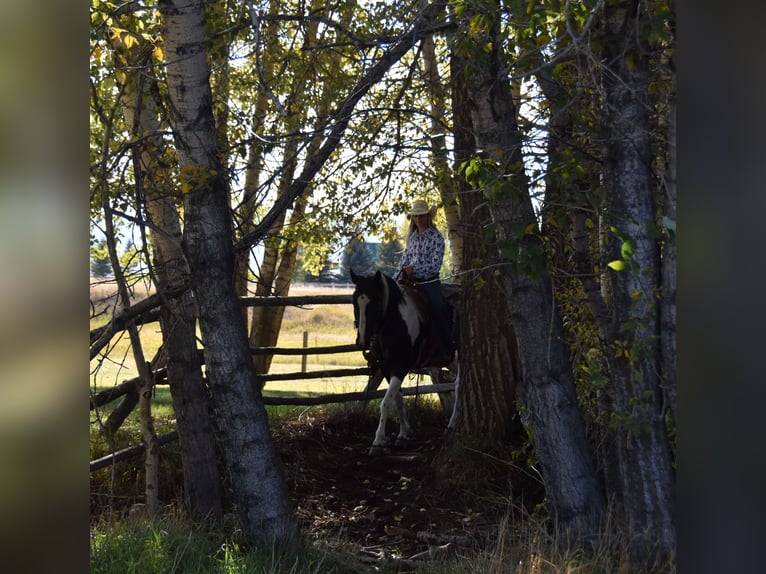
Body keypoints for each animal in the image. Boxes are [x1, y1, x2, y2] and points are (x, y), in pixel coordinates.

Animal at [350, 269, 460, 455]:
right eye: (354, 300)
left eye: (375, 302)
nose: (362, 341)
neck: (395, 321)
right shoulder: (387, 368)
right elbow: (398, 400)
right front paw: (403, 434)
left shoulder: (400, 367)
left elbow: (386, 402)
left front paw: (378, 441)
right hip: (451, 361)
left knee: (459, 385)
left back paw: (452, 426)